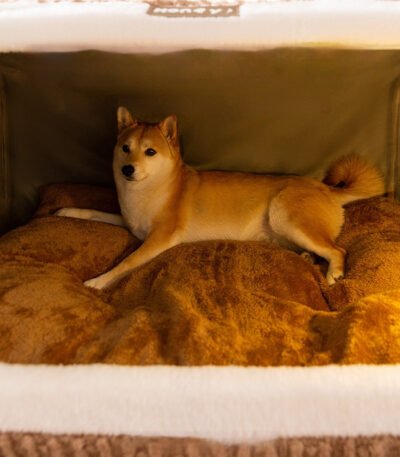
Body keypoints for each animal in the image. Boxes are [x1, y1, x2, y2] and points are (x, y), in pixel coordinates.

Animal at [56, 107, 384, 290]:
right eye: (126, 148)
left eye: (150, 152)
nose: (128, 169)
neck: (152, 190)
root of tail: (327, 188)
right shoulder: (129, 223)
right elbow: (93, 211)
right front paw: (65, 211)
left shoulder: (159, 238)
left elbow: (126, 263)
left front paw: (98, 281)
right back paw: (308, 258)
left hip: (284, 214)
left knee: (338, 250)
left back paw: (334, 273)